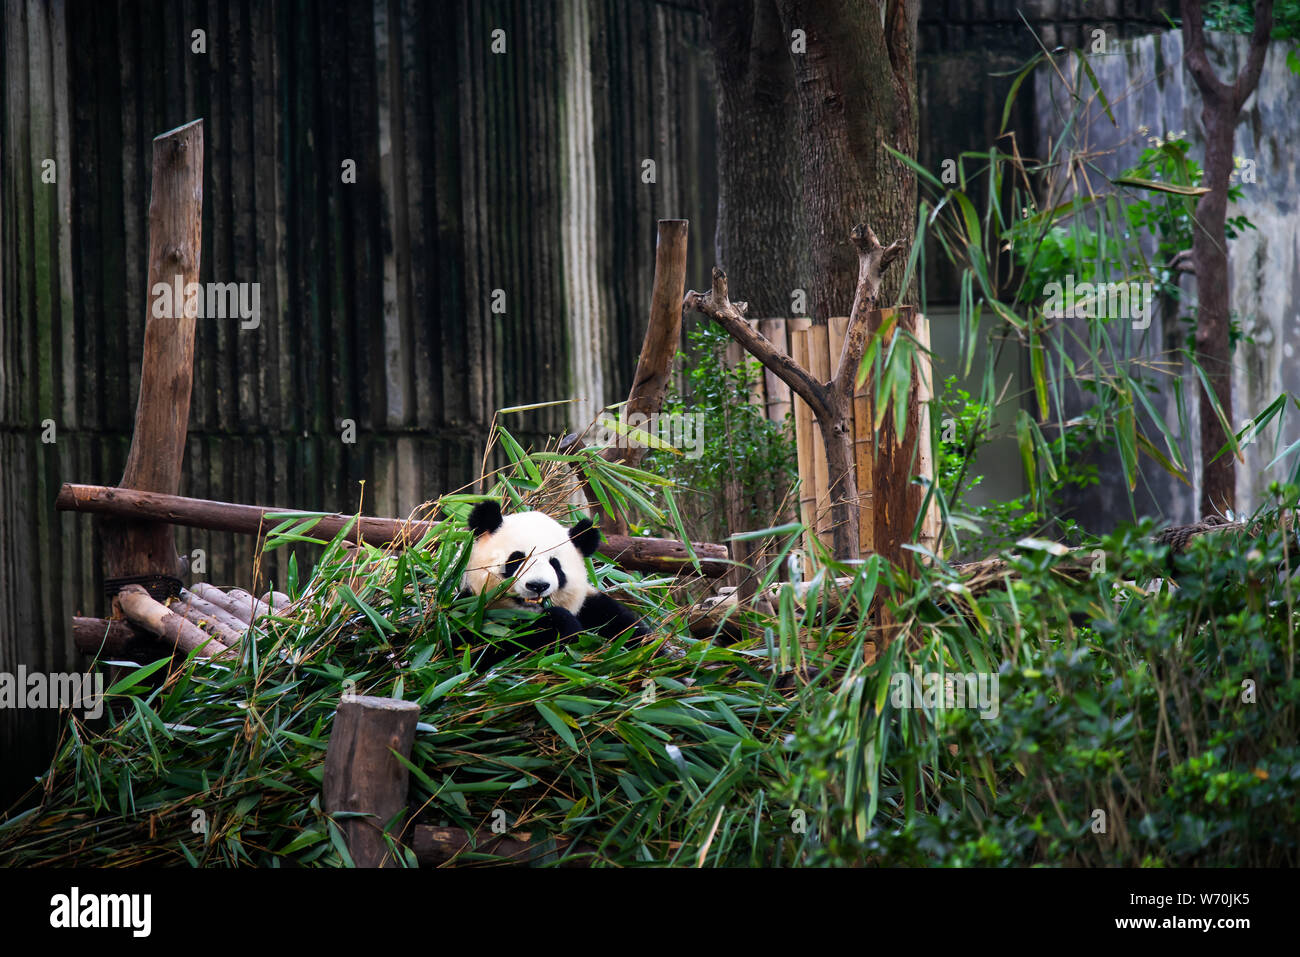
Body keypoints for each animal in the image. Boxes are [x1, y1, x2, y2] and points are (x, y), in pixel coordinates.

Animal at [460, 496, 647, 670]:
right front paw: (553, 624)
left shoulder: (597, 611)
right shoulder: (472, 614)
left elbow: (634, 640)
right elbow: (483, 655)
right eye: (517, 559)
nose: (538, 585)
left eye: (555, 564)